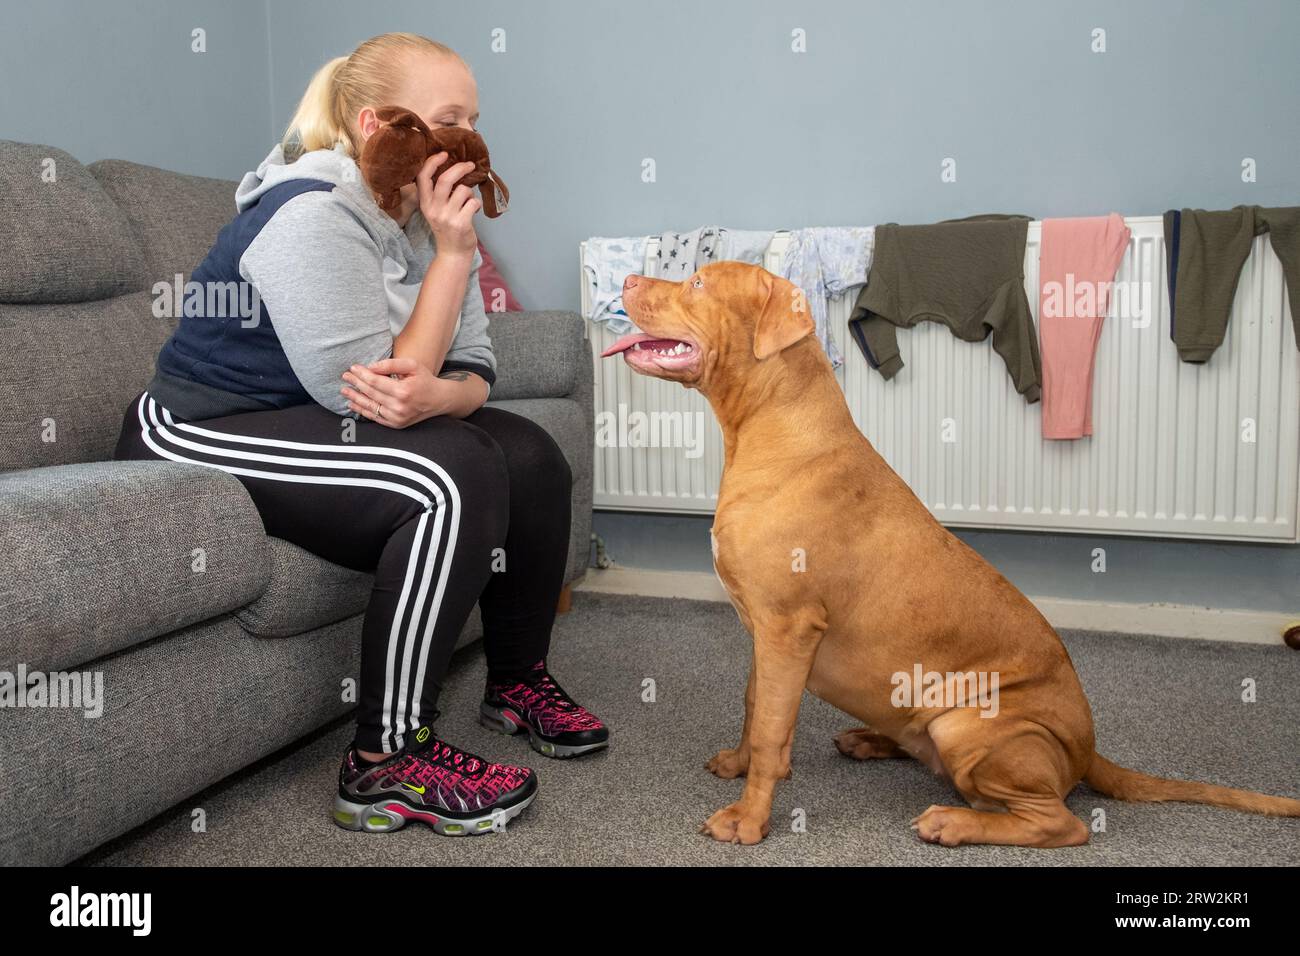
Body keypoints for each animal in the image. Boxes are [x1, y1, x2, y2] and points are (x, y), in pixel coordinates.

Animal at [598, 260, 1300, 842]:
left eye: (696, 282)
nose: (626, 279)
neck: (770, 424)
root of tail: (1088, 750)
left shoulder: (787, 627)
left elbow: (771, 730)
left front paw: (749, 818)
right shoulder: (765, 632)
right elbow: (756, 709)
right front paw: (741, 766)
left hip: (968, 723)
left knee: (1060, 823)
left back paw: (954, 822)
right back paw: (872, 741)